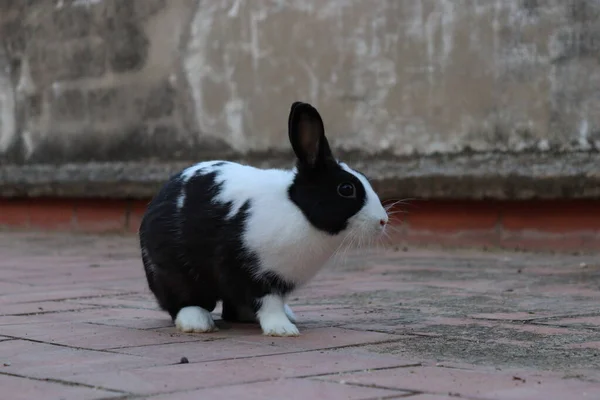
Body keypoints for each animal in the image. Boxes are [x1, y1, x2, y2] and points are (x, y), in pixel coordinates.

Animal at [138, 101, 386, 336]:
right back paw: (198, 322)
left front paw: (282, 322)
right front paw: (282, 329)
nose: (383, 221)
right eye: (346, 189)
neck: (297, 210)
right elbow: (268, 303)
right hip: (171, 272)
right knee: (182, 300)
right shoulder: (251, 272)